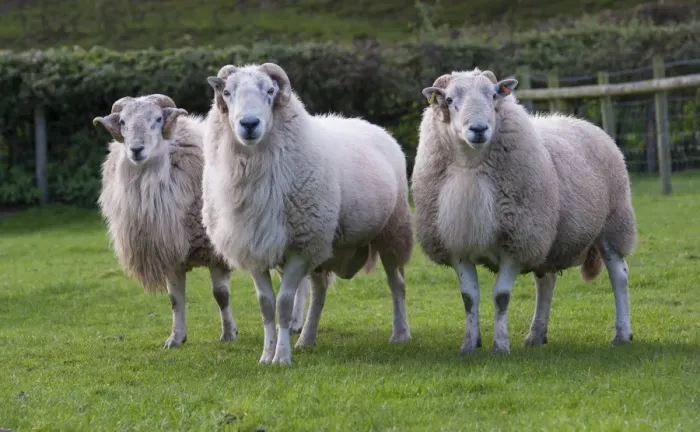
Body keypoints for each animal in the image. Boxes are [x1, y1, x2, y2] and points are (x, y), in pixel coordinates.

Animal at [92, 93, 312, 348]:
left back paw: (295, 323)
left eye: (158, 119)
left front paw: (228, 333)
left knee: (301, 282)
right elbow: (174, 299)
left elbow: (221, 295)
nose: (136, 149)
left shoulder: (213, 251)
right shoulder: (172, 252)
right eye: (123, 122)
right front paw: (176, 338)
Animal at [202, 62, 413, 365]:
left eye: (270, 91)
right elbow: (266, 305)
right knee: (319, 292)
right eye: (227, 93)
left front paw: (281, 357)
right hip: (323, 242)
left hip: (391, 231)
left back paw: (400, 333)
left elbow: (284, 304)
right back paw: (307, 339)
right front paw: (266, 355)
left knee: (396, 283)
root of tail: (370, 125)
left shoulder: (299, 249)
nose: (249, 124)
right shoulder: (255, 249)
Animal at [412, 68, 637, 354]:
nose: (478, 129)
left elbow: (501, 297)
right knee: (546, 281)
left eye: (493, 95)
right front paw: (469, 345)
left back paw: (622, 333)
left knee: (619, 275)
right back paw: (536, 335)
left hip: (612, 223)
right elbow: (468, 298)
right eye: (450, 100)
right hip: (547, 235)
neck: (471, 166)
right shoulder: (458, 243)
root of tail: (581, 122)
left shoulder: (516, 241)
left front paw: (500, 346)